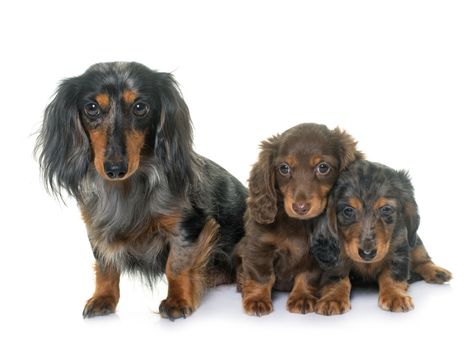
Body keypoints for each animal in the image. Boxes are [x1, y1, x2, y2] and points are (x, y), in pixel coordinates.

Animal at [236, 123, 364, 318]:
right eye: (284, 168)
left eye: (323, 167)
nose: (300, 207)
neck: (299, 223)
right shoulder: (259, 246)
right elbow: (261, 276)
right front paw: (257, 299)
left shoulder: (316, 255)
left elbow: (307, 276)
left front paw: (302, 297)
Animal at [308, 159, 452, 314]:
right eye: (348, 210)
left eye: (386, 209)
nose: (367, 253)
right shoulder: (334, 254)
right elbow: (337, 275)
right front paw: (333, 298)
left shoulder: (399, 247)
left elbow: (392, 274)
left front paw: (395, 295)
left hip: (414, 240)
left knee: (422, 259)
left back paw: (437, 272)